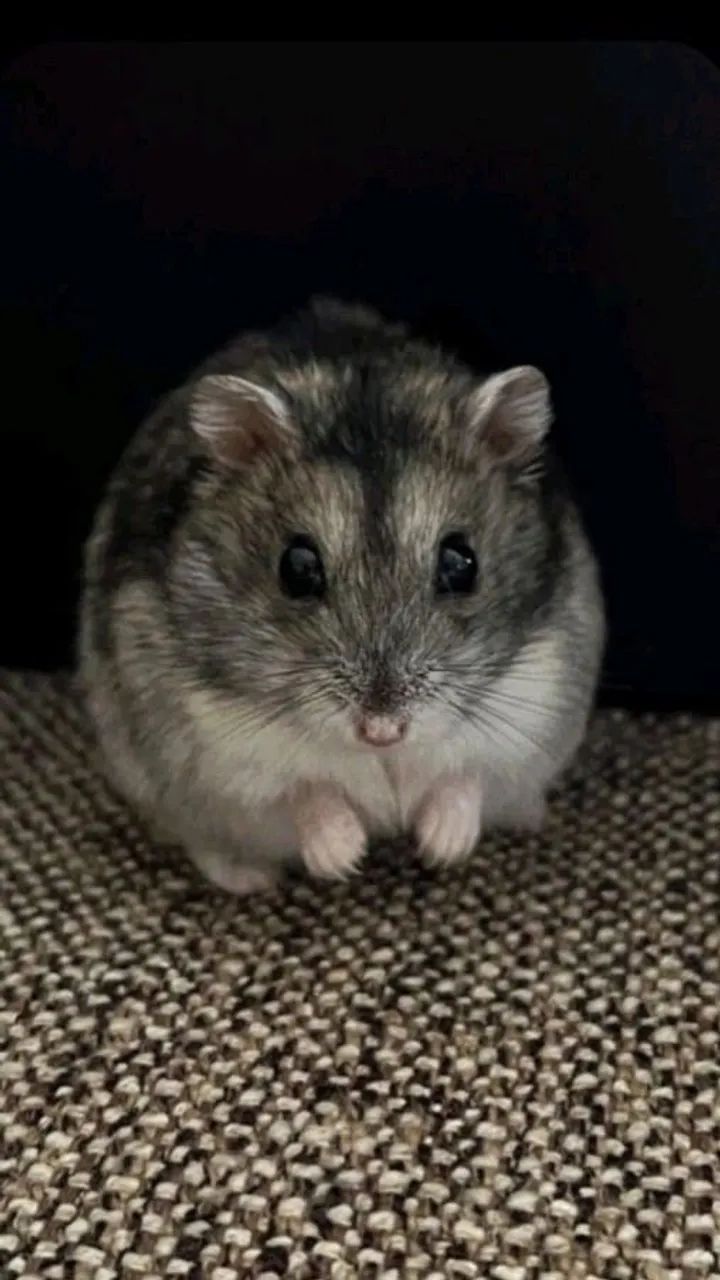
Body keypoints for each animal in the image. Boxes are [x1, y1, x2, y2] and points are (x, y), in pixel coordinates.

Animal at [79, 297, 605, 894]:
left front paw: (441, 847)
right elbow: (308, 792)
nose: (383, 731)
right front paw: (345, 858)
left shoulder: (527, 720)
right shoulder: (226, 758)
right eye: (296, 567)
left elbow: (464, 777)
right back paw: (249, 878)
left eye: (461, 563)